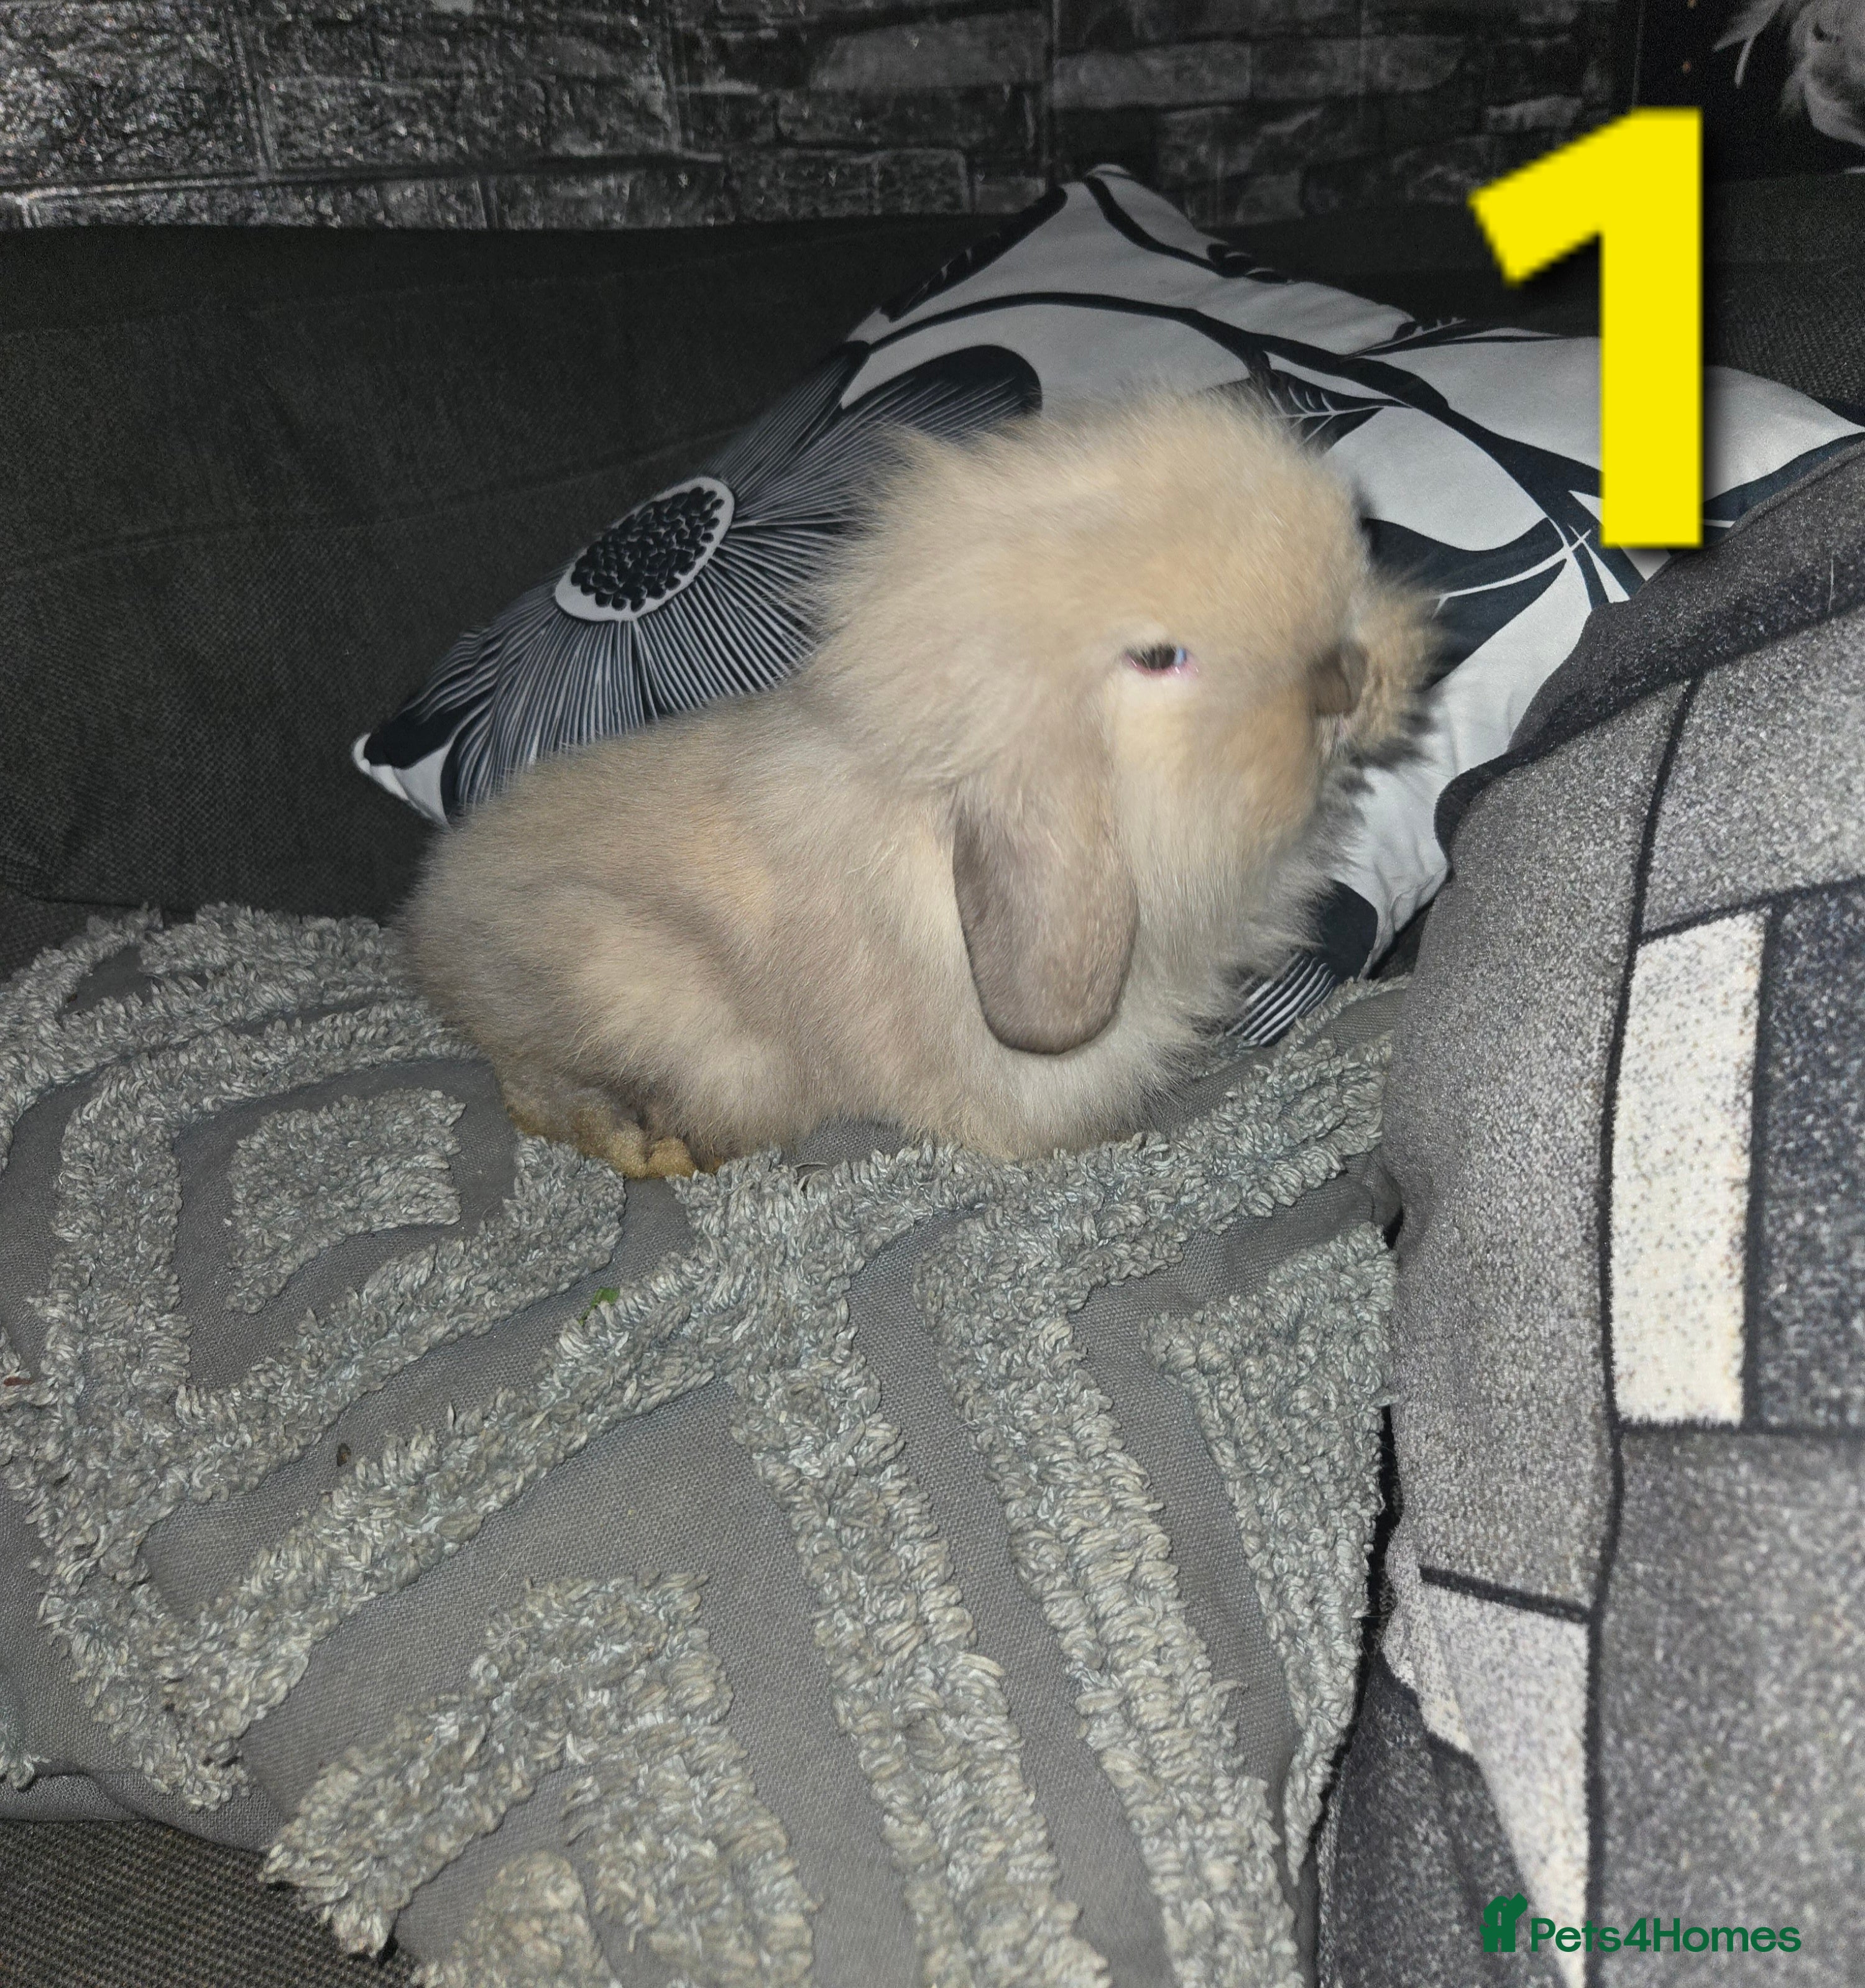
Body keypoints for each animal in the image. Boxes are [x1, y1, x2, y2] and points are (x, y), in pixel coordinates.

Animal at [403, 391, 1432, 1177]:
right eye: (1158, 657)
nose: (1343, 679)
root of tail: (434, 922)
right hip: (636, 988)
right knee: (537, 1088)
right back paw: (655, 1151)